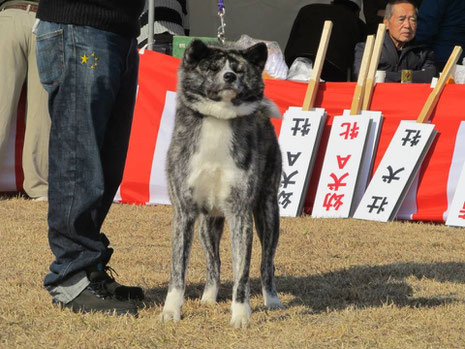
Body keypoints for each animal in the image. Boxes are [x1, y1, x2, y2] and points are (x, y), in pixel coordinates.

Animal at [160, 39, 280, 328]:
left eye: (239, 70)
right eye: (211, 67)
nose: (229, 77)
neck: (218, 119)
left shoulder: (240, 213)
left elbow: (242, 274)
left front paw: (241, 314)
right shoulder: (184, 213)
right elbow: (178, 270)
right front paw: (171, 310)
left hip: (268, 213)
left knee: (265, 263)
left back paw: (271, 300)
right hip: (208, 224)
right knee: (214, 262)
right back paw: (208, 296)